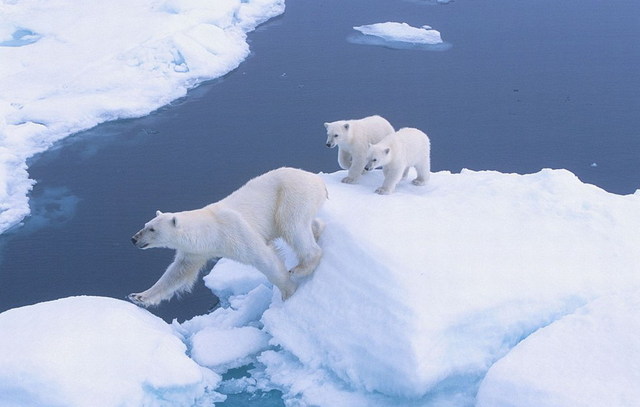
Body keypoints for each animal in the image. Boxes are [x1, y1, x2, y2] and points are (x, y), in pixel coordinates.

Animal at [128, 167, 328, 308]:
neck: (210, 229)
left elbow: (264, 258)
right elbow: (178, 273)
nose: (134, 239)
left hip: (292, 196)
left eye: (152, 229)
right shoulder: (195, 252)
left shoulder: (234, 231)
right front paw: (138, 296)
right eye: (145, 225)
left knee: (292, 226)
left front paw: (288, 291)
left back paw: (301, 268)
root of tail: (317, 178)